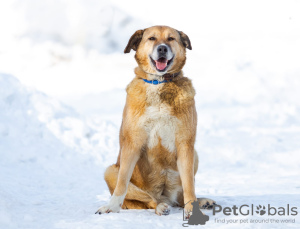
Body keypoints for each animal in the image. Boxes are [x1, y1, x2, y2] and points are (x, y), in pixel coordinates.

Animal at [96, 25, 216, 216]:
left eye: (171, 39)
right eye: (151, 38)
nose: (162, 49)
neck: (159, 84)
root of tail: (165, 197)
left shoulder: (185, 144)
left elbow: (189, 185)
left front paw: (192, 210)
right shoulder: (132, 143)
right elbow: (122, 182)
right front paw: (111, 207)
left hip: (194, 155)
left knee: (180, 196)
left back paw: (201, 201)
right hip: (110, 171)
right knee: (149, 200)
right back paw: (160, 206)